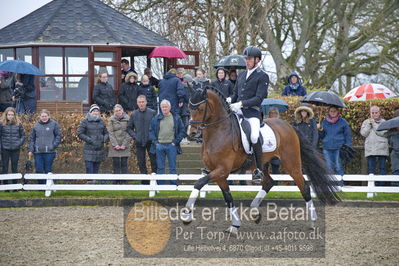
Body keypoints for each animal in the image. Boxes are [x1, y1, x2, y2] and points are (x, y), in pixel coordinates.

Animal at [181, 86, 340, 234]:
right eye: (189, 107)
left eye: (201, 108)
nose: (191, 133)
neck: (219, 131)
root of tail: (289, 126)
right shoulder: (218, 173)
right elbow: (228, 197)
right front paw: (234, 225)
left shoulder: (222, 170)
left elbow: (199, 183)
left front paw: (187, 214)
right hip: (262, 164)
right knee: (269, 182)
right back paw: (254, 211)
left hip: (291, 164)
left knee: (304, 188)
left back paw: (312, 221)